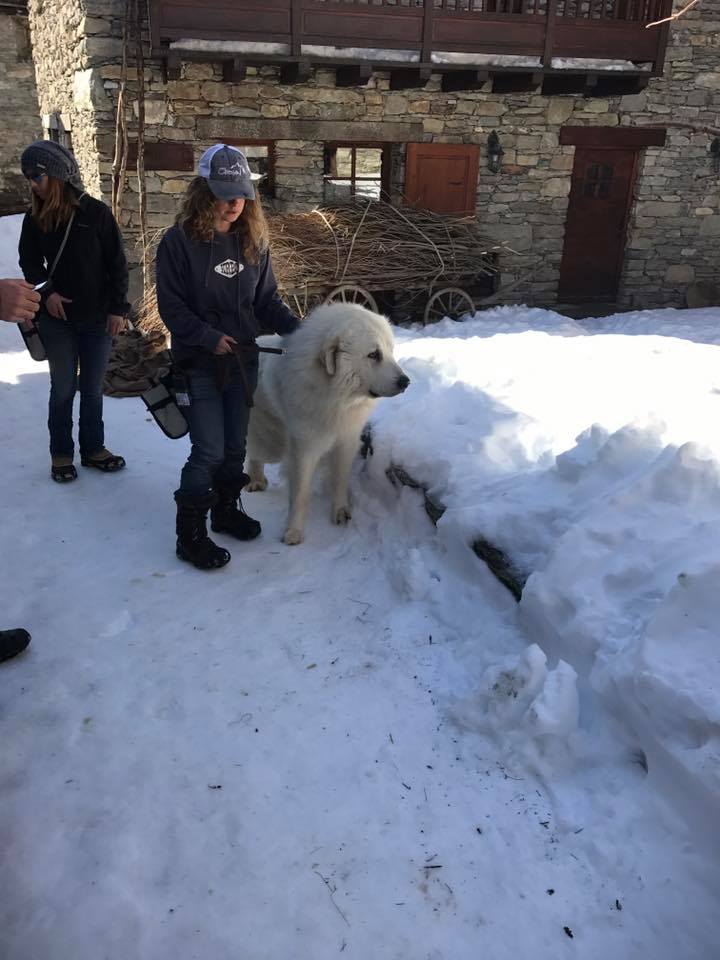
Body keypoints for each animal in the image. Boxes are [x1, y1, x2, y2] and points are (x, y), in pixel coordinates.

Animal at [246, 304, 410, 544]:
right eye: (373, 354)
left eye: (390, 351)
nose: (406, 382)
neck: (337, 397)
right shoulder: (305, 446)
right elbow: (300, 492)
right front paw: (294, 531)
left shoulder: (347, 440)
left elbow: (340, 479)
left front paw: (340, 511)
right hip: (269, 437)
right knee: (255, 452)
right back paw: (255, 479)